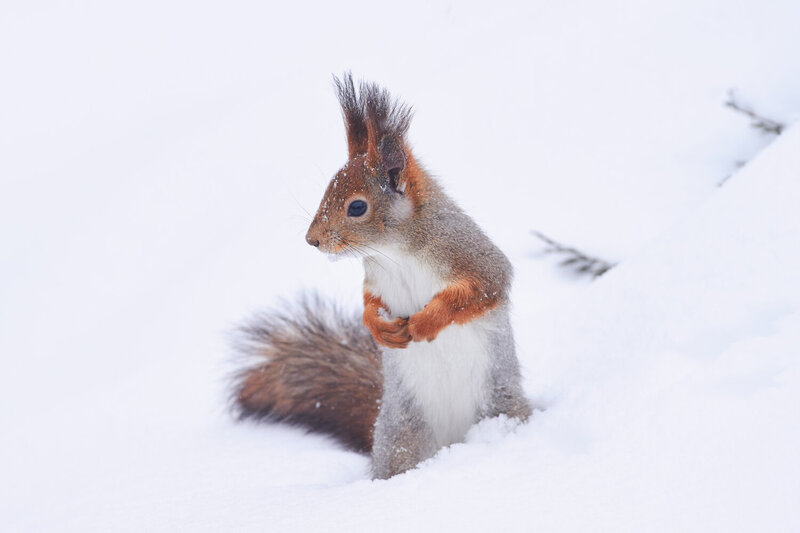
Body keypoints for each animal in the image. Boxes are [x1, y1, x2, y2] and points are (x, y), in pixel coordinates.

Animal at [232, 73, 531, 479]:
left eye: (357, 207)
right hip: (400, 434)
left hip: (499, 403)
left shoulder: (471, 257)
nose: (312, 240)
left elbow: (484, 288)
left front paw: (425, 322)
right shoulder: (375, 277)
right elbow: (369, 303)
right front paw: (379, 327)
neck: (396, 252)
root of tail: (453, 444)